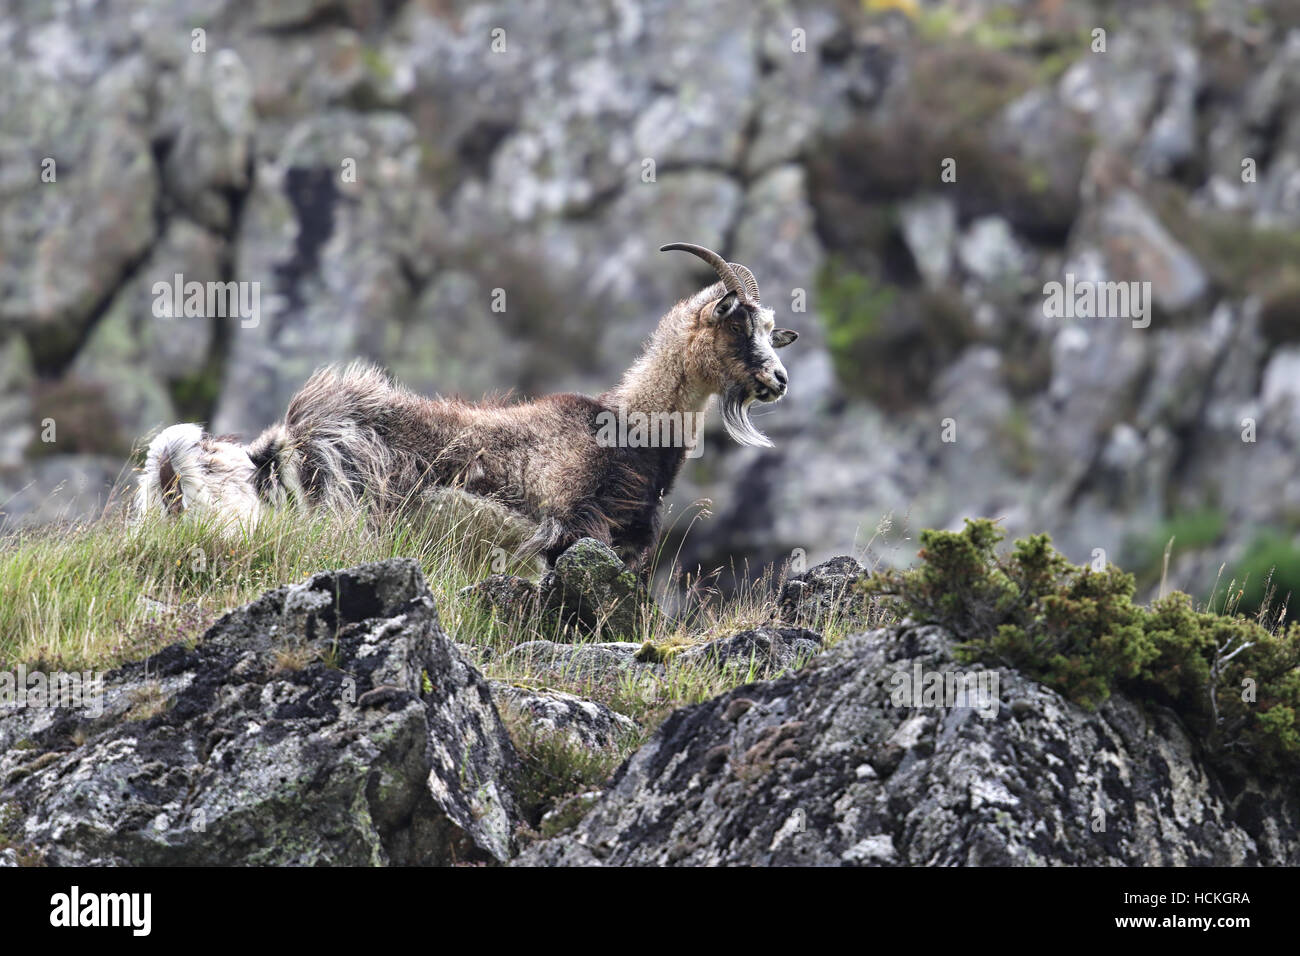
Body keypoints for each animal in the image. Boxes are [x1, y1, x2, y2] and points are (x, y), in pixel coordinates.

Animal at [135, 243, 798, 568]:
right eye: (739, 323)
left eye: (773, 328)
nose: (780, 379)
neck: (627, 430)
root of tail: (272, 450)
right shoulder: (571, 523)